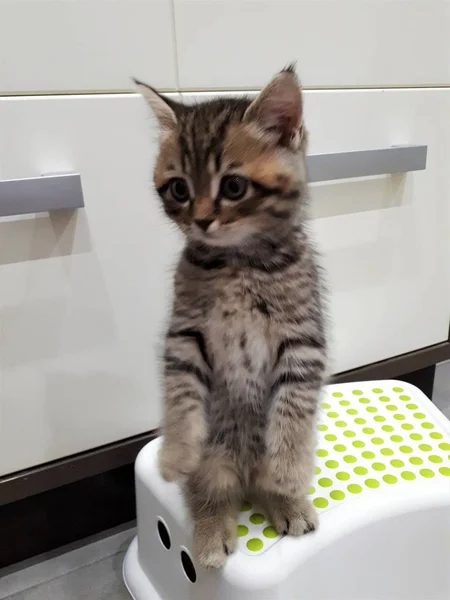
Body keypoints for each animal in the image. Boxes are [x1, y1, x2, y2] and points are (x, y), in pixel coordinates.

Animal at [135, 68, 328, 568]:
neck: (238, 261)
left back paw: (287, 500)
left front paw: (288, 470)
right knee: (210, 493)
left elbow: (293, 406)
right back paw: (210, 537)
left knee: (264, 483)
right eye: (179, 189)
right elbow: (180, 395)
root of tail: (241, 469)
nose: (202, 220)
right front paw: (175, 453)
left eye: (234, 187)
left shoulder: (303, 339)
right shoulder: (184, 334)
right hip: (214, 462)